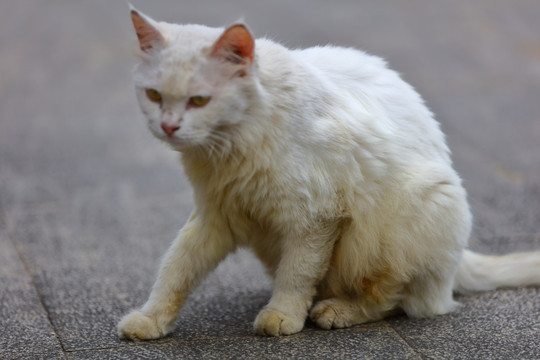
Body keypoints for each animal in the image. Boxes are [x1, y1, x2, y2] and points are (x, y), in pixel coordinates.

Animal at [118, 7, 540, 340]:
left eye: (199, 100)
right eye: (154, 95)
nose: (168, 126)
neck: (231, 146)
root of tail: (458, 262)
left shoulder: (315, 217)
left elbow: (297, 273)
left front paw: (283, 316)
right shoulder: (215, 215)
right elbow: (176, 269)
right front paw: (150, 319)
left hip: (415, 209)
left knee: (396, 300)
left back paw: (335, 310)